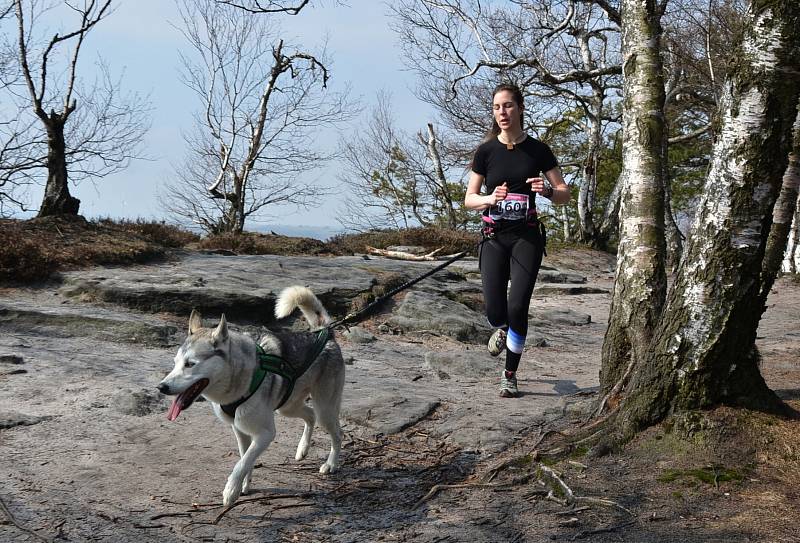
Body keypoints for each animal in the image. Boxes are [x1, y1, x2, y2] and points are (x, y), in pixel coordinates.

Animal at [156, 286, 344, 508]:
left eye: (190, 364)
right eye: (175, 362)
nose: (161, 387)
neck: (238, 379)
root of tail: (323, 334)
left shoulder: (266, 433)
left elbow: (242, 462)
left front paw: (231, 490)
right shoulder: (240, 430)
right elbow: (246, 458)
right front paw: (244, 485)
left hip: (325, 410)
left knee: (336, 433)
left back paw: (331, 464)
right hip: (287, 407)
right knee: (309, 416)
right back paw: (302, 449)